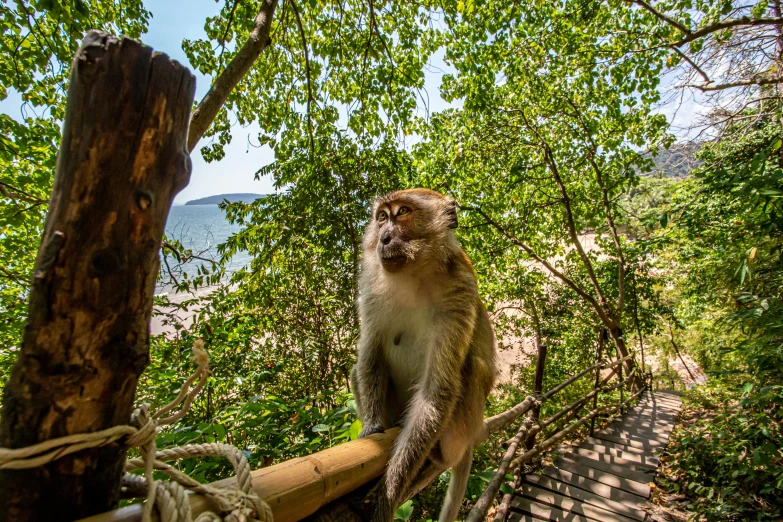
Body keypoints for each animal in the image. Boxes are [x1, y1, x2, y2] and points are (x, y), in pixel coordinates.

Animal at [350, 187, 496, 520]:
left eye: (403, 212)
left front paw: (388, 494)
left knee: (471, 367)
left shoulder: (460, 291)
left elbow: (437, 389)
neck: (413, 275)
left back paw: (443, 457)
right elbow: (370, 356)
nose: (384, 238)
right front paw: (372, 428)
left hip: (465, 426)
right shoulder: (372, 288)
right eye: (381, 217)